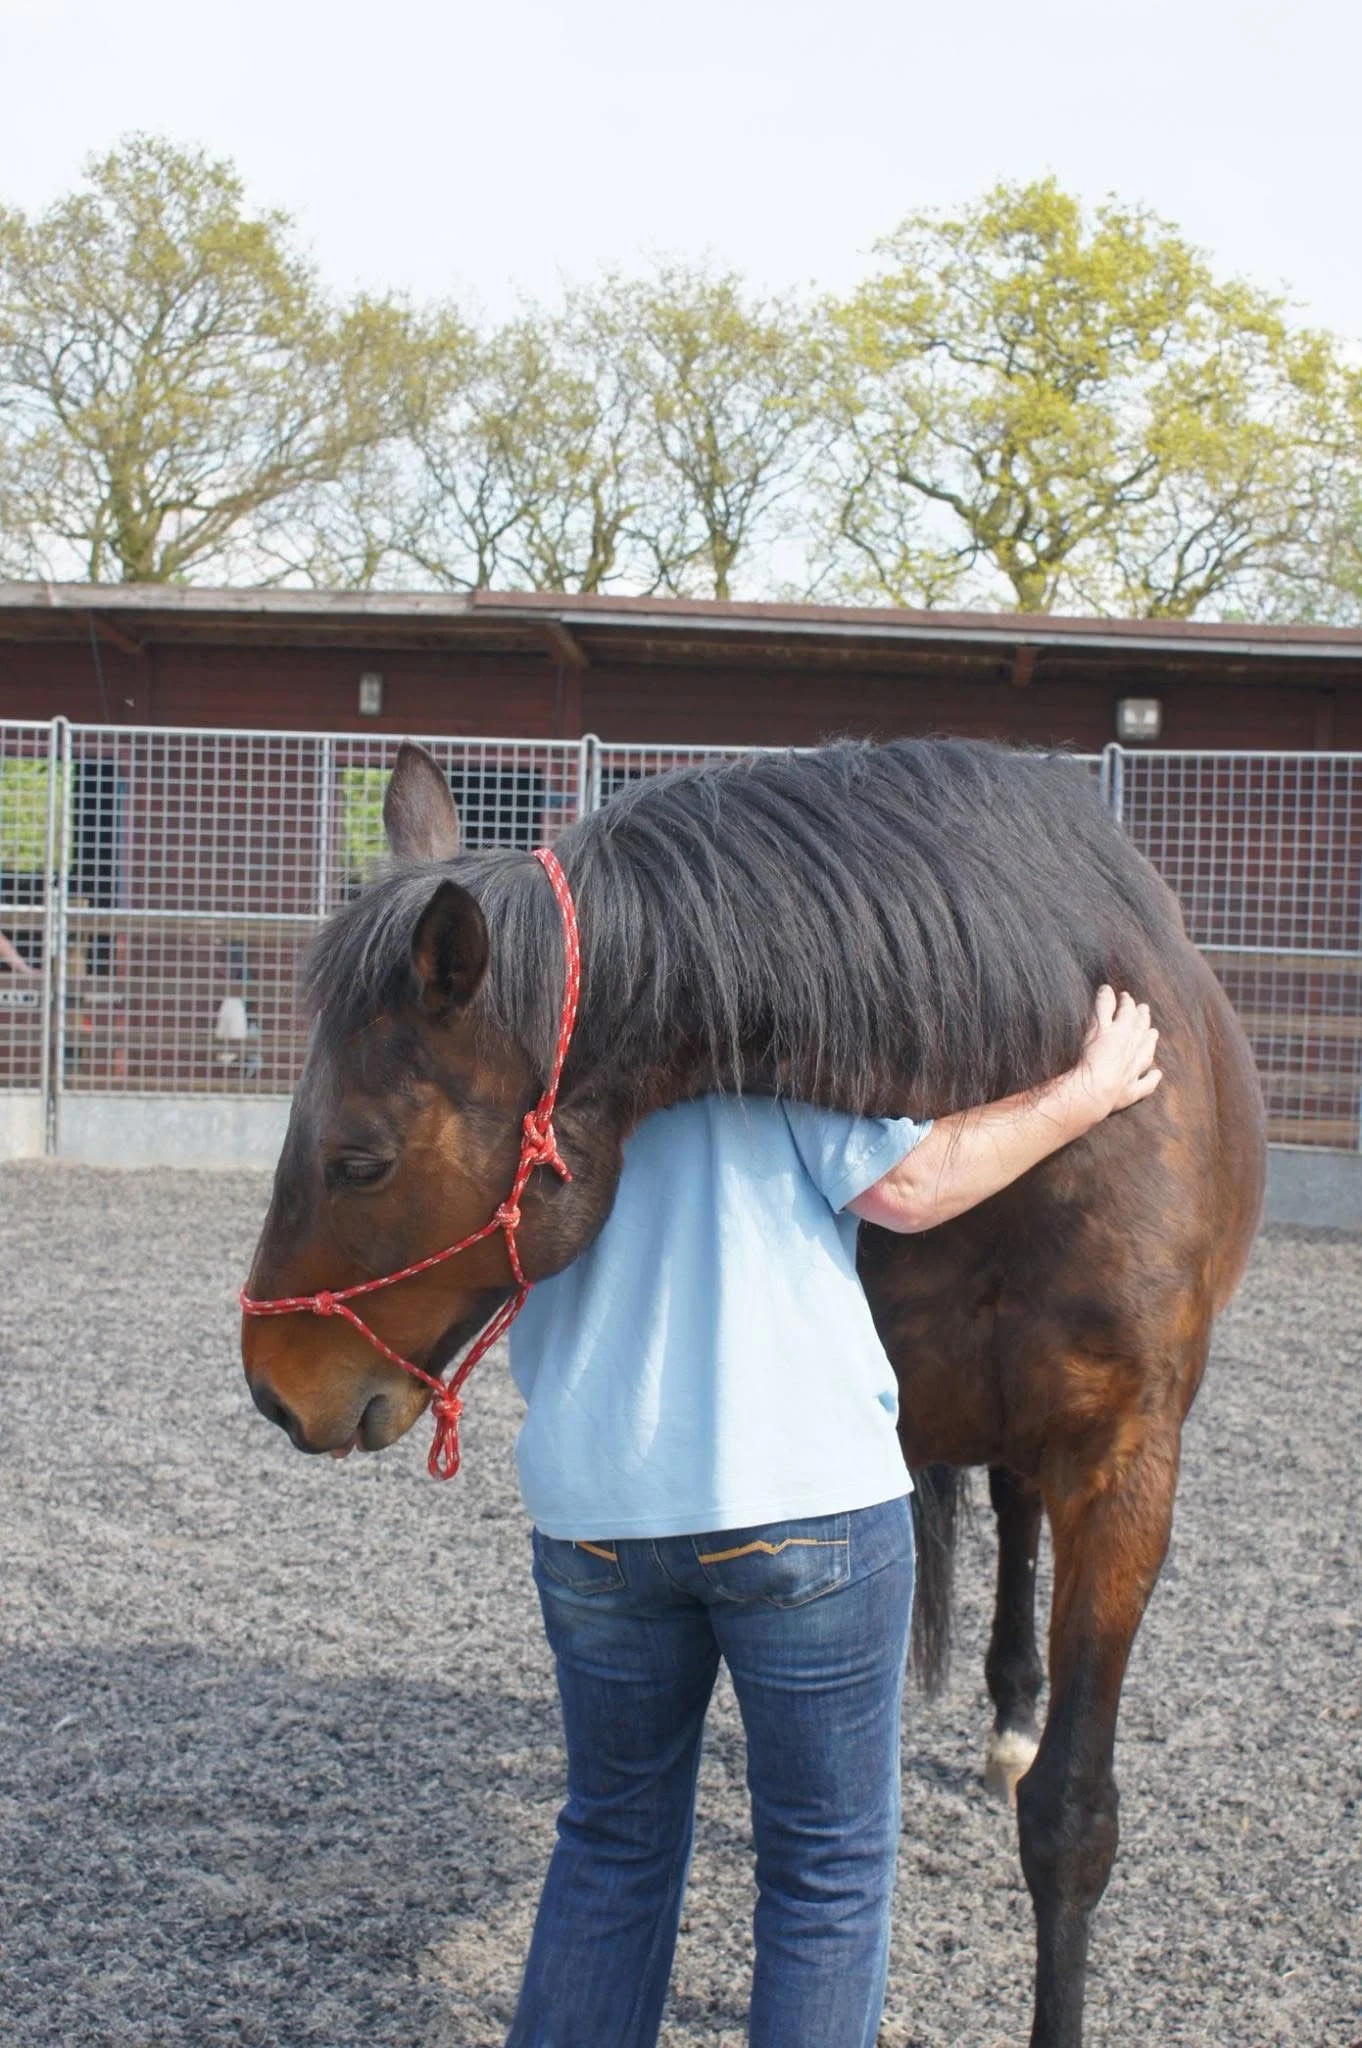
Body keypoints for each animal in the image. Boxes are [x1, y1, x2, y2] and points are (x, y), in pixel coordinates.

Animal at [241, 736, 1265, 2048]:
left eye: (359, 1160)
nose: (273, 1384)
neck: (1024, 1079)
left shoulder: (1126, 1463)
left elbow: (1071, 1816)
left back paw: (1012, 1717)